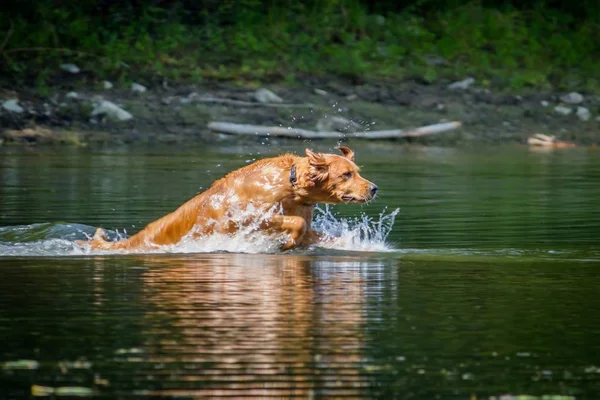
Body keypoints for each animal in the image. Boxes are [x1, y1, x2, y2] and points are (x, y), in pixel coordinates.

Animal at [79, 147, 378, 252]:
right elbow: (295, 224)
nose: (374, 188)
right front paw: (287, 242)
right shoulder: (245, 217)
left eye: (358, 171)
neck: (290, 186)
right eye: (346, 174)